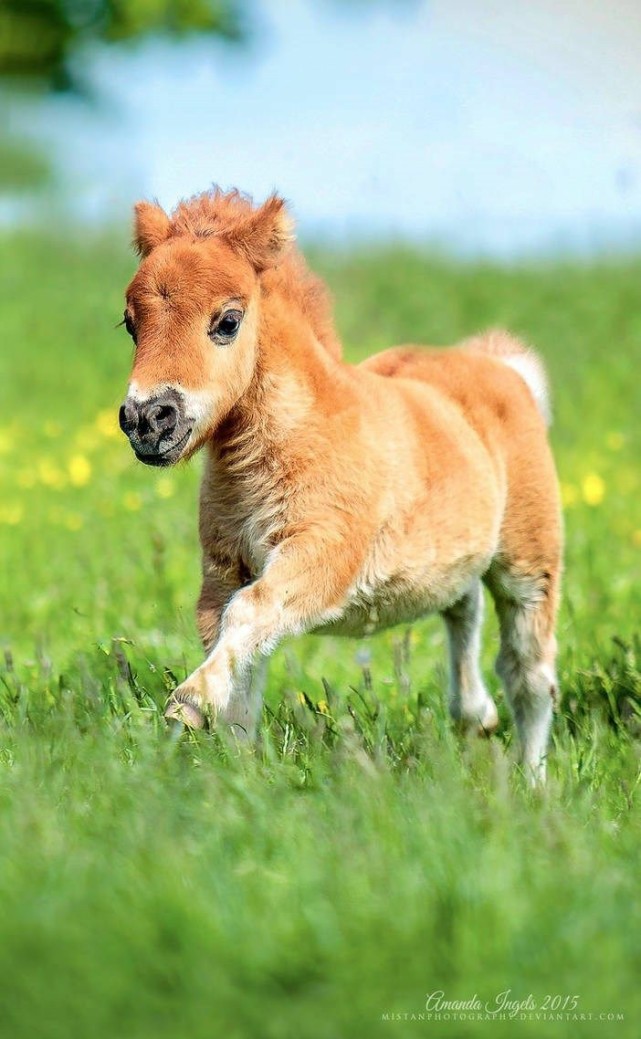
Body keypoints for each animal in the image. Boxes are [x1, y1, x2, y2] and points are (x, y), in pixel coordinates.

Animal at [119, 191, 561, 781]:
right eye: (130, 324)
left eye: (228, 321)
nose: (147, 419)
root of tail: (502, 368)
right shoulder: (222, 570)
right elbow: (240, 663)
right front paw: (237, 769)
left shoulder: (323, 554)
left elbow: (249, 614)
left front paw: (189, 703)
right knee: (461, 604)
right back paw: (476, 715)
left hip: (529, 562)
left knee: (529, 673)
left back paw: (533, 782)